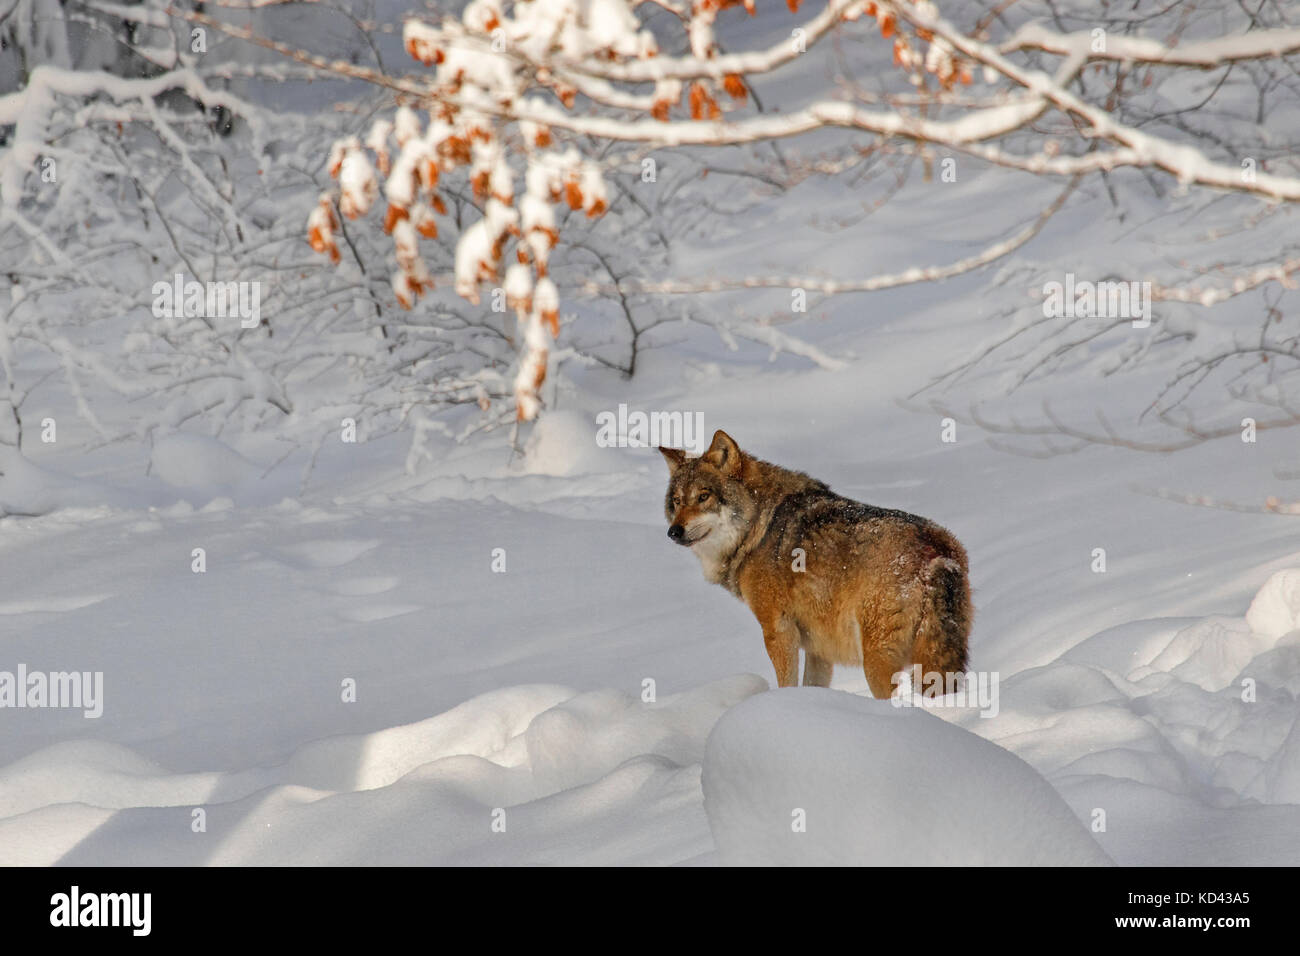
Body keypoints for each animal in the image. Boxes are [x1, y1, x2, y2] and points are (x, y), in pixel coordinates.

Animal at [660, 430, 971, 697]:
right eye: (676, 501)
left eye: (703, 497)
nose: (673, 532)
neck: (759, 527)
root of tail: (937, 548)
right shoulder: (818, 648)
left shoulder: (778, 630)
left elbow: (786, 683)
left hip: (876, 662)